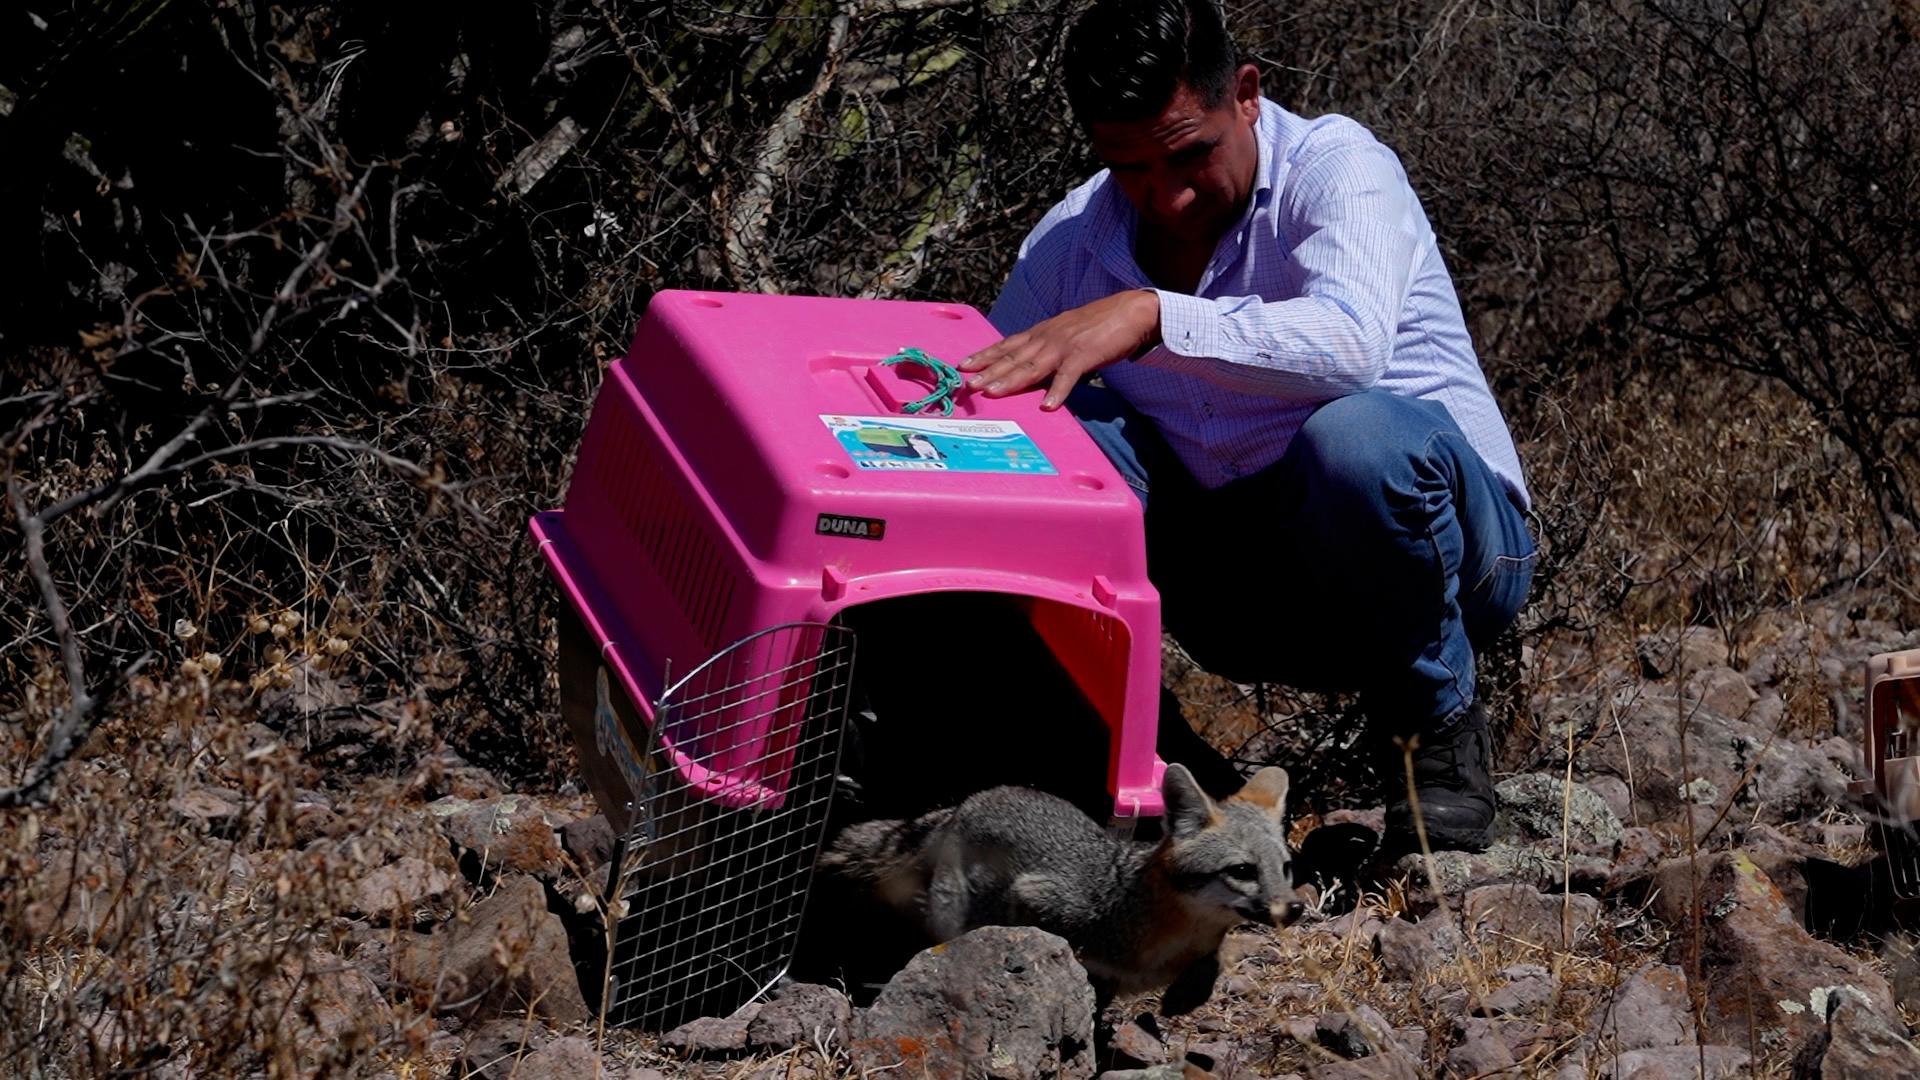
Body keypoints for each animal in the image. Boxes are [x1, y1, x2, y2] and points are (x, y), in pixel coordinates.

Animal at [817, 760, 1297, 1006]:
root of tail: (968, 801)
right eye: (1242, 871)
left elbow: (1207, 964)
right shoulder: (1039, 896)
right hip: (951, 914)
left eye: (1286, 868)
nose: (1294, 908)